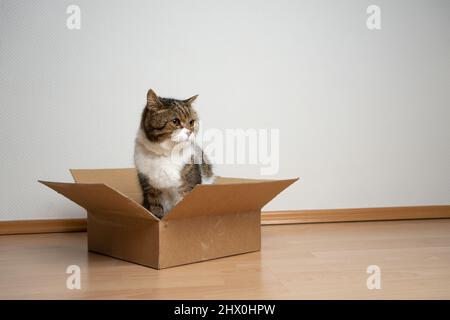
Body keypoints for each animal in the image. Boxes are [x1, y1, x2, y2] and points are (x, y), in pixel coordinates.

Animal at [134, 88, 214, 218]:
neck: (166, 154)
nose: (190, 132)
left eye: (191, 122)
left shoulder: (188, 187)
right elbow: (156, 209)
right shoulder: (150, 189)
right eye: (175, 121)